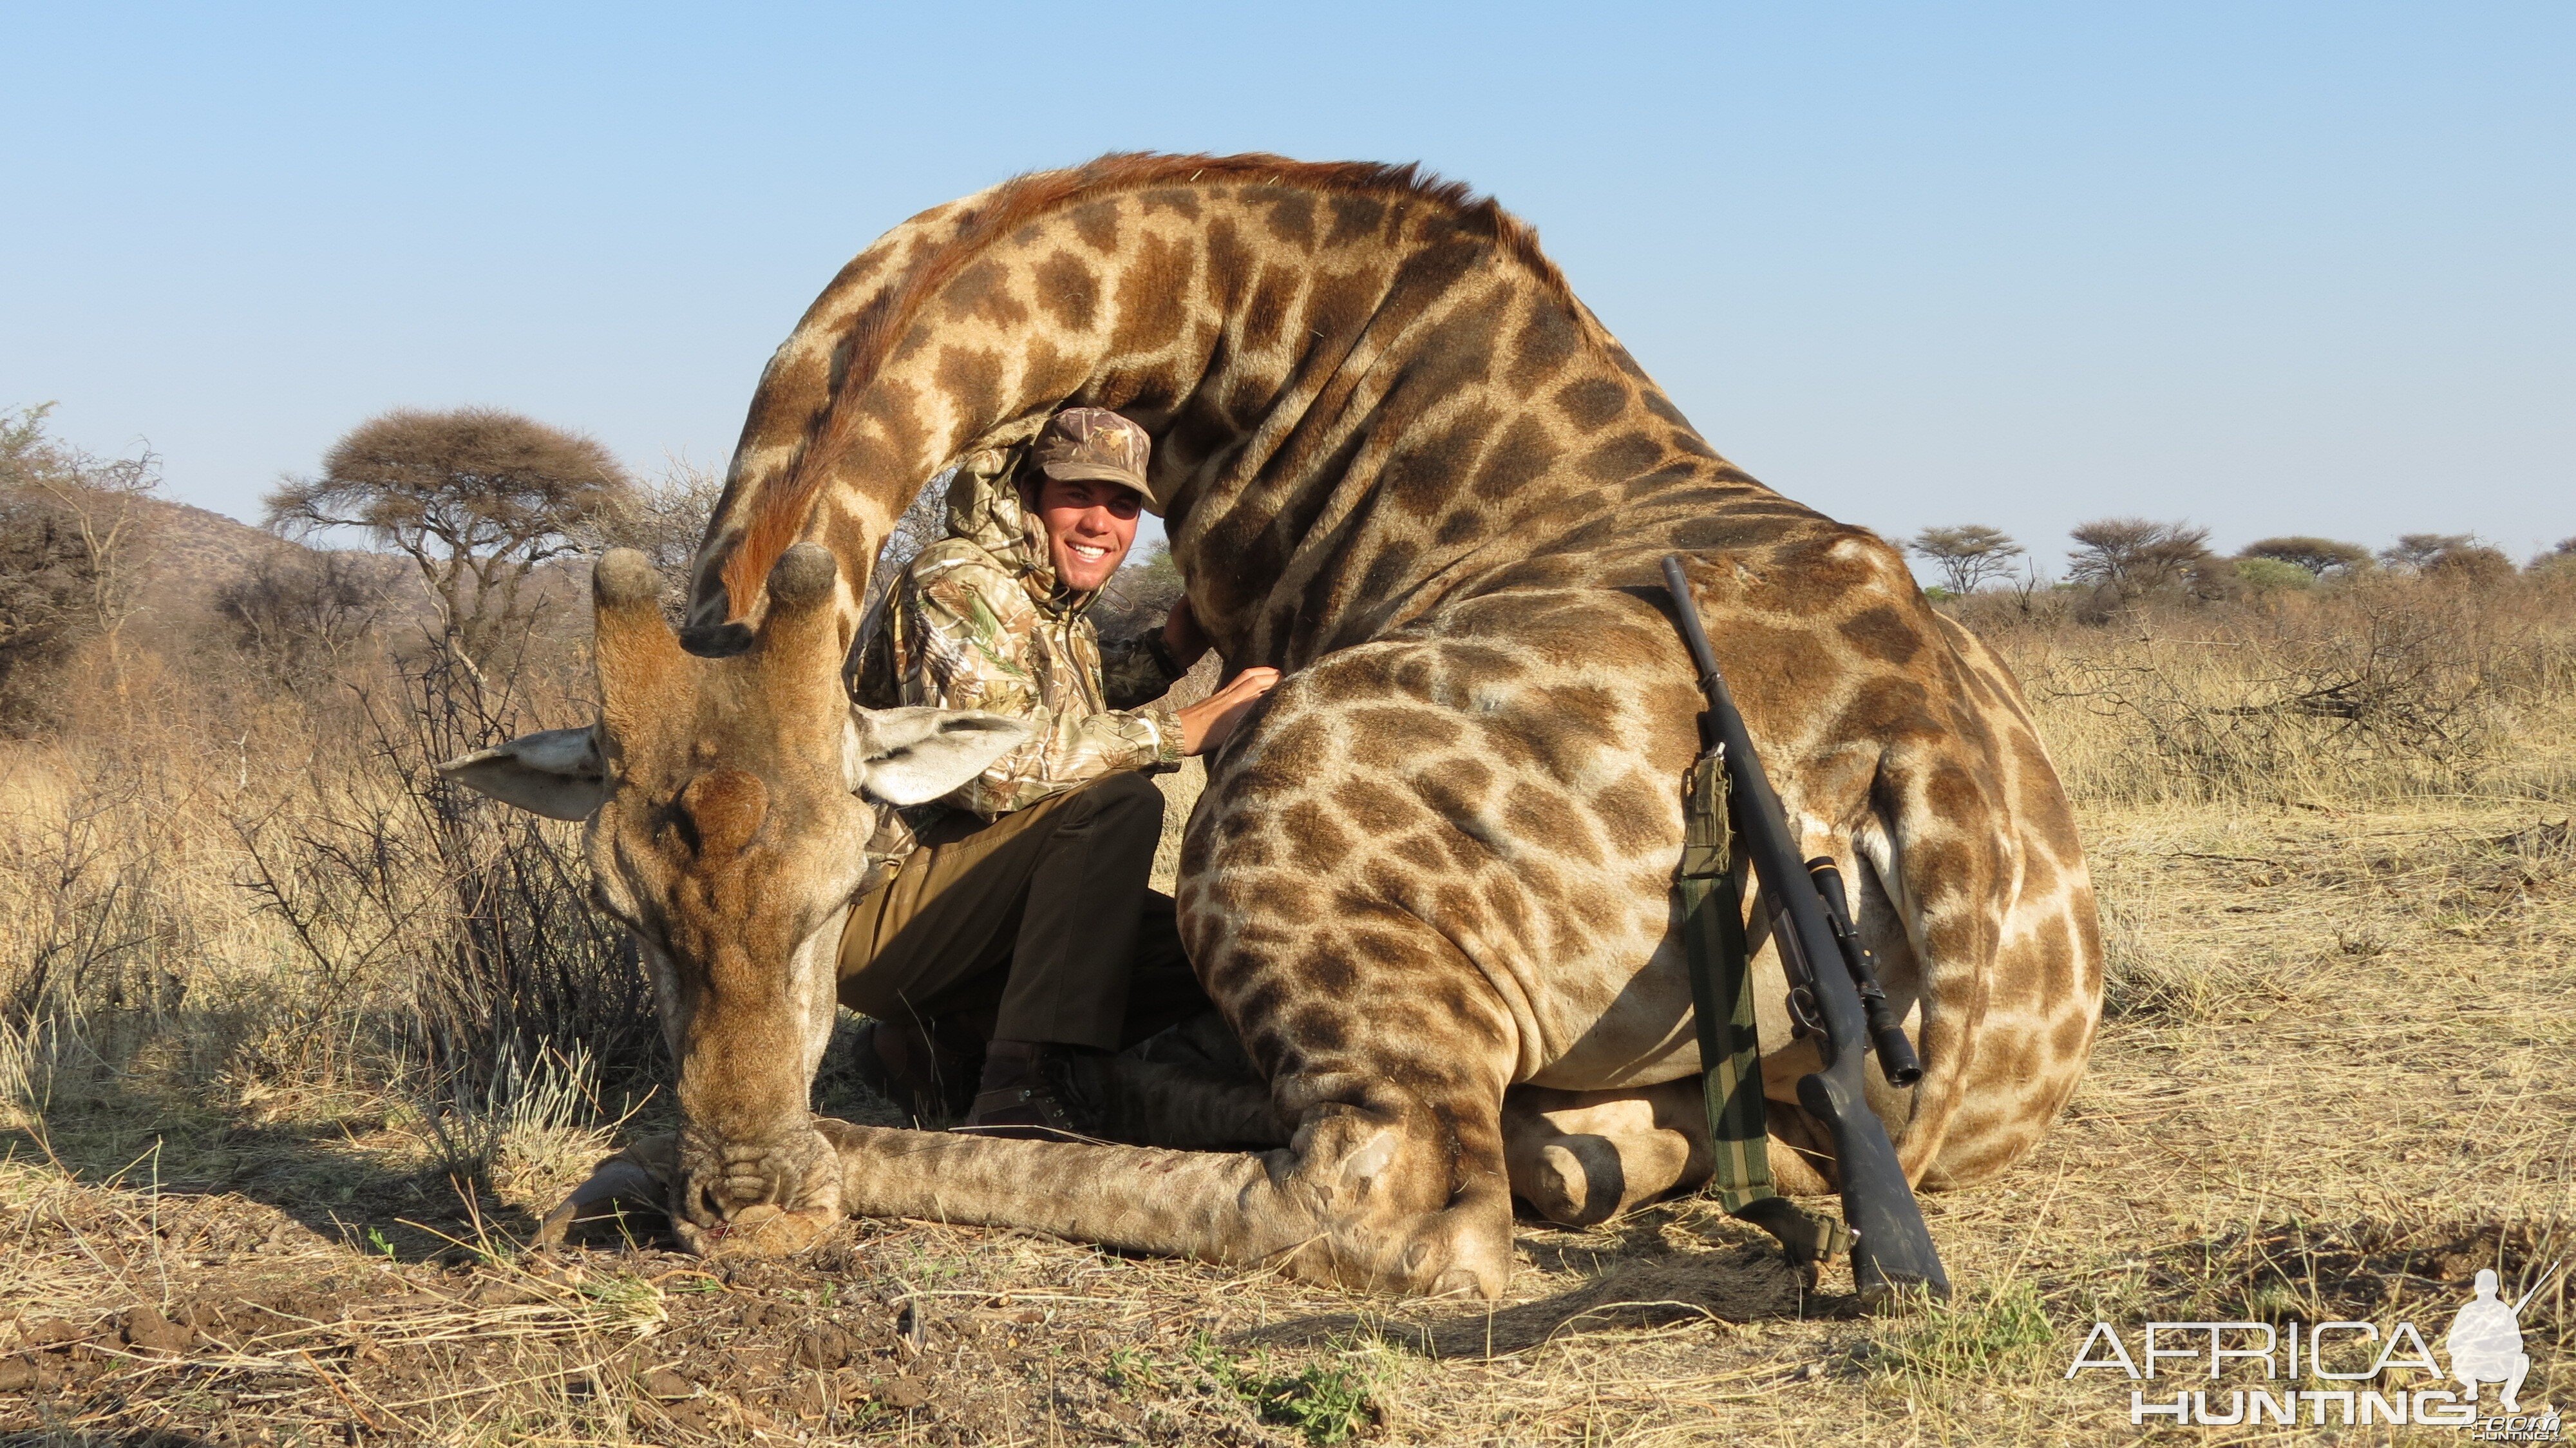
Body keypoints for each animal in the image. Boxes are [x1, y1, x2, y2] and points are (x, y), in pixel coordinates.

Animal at [443, 152, 2092, 1288]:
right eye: (622, 906)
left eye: (845, 887)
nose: (745, 1205)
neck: (1265, 336)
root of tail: (1911, 762)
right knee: (1574, 1164)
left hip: (1268, 826)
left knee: (1398, 1208)